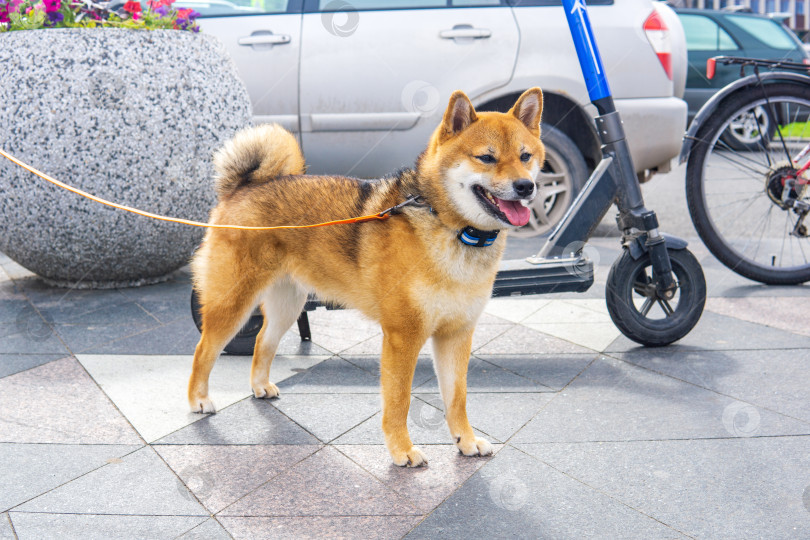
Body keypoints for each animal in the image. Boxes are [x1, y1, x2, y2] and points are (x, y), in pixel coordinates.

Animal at [189, 87, 544, 464]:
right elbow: (399, 400)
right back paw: (198, 399)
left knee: (262, 342)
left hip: (288, 306)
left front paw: (467, 441)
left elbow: (457, 397)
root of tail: (242, 188)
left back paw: (259, 386)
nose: (525, 186)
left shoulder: (457, 333)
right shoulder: (403, 336)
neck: (455, 230)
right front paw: (402, 450)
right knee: (204, 349)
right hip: (233, 303)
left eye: (525, 156)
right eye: (487, 158)